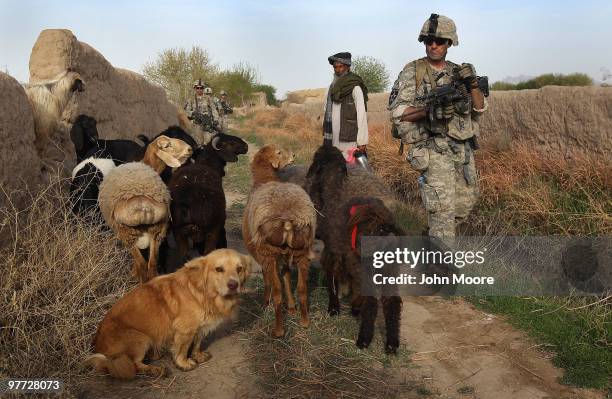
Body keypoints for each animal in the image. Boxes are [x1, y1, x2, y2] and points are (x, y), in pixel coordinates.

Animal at [86, 248, 251, 380]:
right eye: (219, 269)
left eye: (239, 269)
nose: (233, 285)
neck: (201, 291)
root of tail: (97, 347)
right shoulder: (184, 329)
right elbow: (182, 349)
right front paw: (184, 363)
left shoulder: (199, 327)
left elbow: (197, 343)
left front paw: (198, 355)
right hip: (141, 338)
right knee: (134, 364)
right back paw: (154, 370)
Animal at [99, 136, 192, 282]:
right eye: (167, 145)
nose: (190, 149)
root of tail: (143, 208)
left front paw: (133, 274)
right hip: (156, 232)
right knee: (151, 266)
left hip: (129, 234)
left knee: (143, 266)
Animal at [241, 145, 316, 338]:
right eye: (279, 152)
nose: (294, 155)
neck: (265, 179)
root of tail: (288, 219)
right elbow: (287, 275)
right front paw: (291, 308)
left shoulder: (261, 254)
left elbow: (267, 278)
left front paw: (265, 302)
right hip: (302, 252)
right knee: (302, 289)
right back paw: (304, 322)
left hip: (269, 252)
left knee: (276, 292)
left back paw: (278, 330)